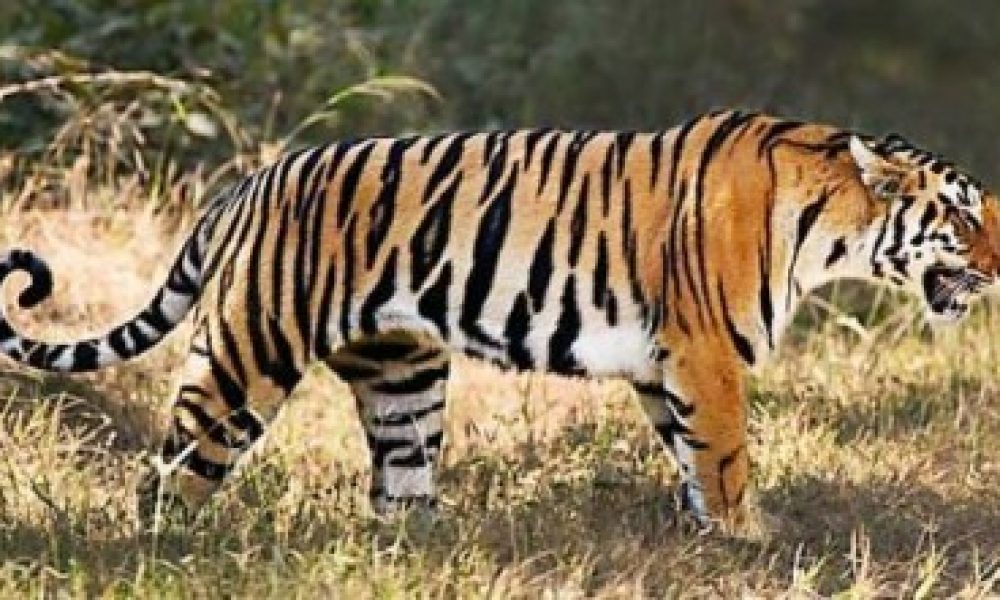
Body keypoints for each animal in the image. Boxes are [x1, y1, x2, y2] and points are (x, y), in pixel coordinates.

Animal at [0, 109, 998, 534]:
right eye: (962, 214)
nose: (995, 268)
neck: (835, 226)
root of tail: (245, 186)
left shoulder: (664, 359)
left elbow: (688, 452)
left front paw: (709, 535)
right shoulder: (705, 349)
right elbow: (723, 452)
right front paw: (747, 540)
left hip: (404, 375)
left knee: (398, 486)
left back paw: (422, 550)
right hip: (249, 354)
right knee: (171, 472)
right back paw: (167, 552)